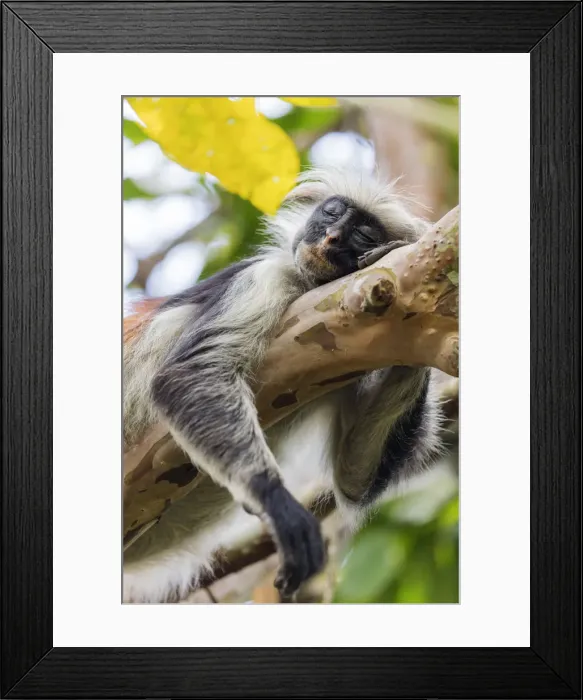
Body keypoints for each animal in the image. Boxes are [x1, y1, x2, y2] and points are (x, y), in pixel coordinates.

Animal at [123, 167, 442, 603]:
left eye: (363, 234)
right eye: (332, 213)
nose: (333, 238)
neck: (308, 286)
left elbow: (354, 478)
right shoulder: (265, 277)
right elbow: (190, 373)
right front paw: (277, 502)